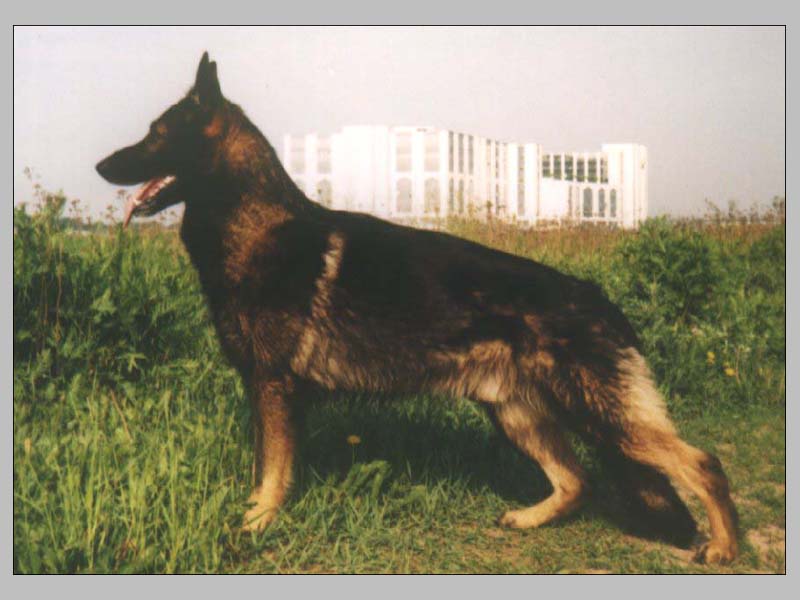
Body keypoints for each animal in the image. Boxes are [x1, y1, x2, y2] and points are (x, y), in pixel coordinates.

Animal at [96, 52, 738, 564]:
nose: (101, 166)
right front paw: (256, 515)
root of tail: (595, 293)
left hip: (600, 414)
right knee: (576, 479)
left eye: (155, 134)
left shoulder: (273, 388)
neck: (257, 227)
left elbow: (272, 472)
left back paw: (724, 547)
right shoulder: (268, 390)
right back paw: (530, 518)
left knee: (702, 463)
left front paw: (257, 524)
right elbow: (265, 471)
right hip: (517, 414)